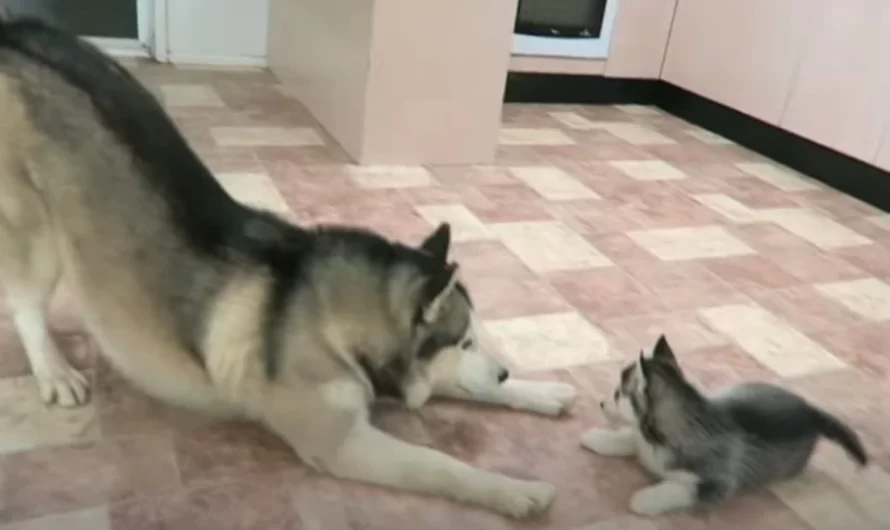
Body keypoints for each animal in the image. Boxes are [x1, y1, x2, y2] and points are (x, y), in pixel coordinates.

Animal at [0, 15, 576, 516]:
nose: (504, 371)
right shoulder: (341, 442)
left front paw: (539, 391)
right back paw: (54, 370)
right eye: (465, 341)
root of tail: (17, 31)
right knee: (26, 304)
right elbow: (437, 464)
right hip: (37, 232)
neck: (333, 326)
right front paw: (514, 490)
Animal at [580, 336, 864, 512]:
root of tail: (810, 410)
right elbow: (629, 438)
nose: (601, 403)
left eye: (618, 393)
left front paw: (646, 498)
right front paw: (598, 438)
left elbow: (680, 489)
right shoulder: (642, 440)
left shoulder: (716, 484)